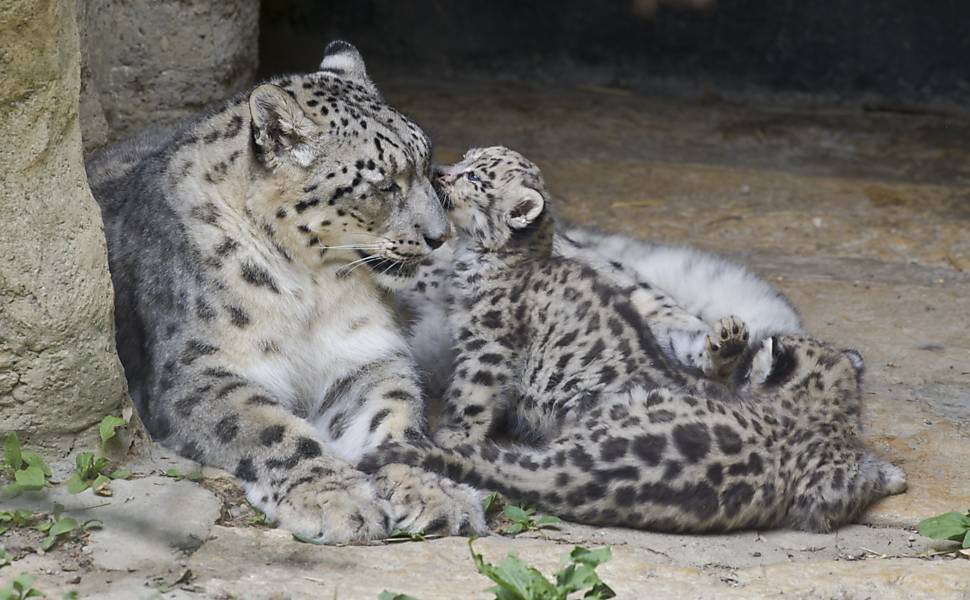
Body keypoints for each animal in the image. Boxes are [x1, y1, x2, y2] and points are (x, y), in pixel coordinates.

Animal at [85, 41, 485, 544]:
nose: (439, 235)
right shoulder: (202, 370)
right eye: (383, 185)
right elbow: (271, 429)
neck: (313, 291)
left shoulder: (365, 357)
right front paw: (338, 500)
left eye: (428, 165)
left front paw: (437, 492)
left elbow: (396, 417)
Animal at [358, 146, 906, 533]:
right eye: (468, 159)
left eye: (475, 177)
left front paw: (455, 437)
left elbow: (471, 396)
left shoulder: (487, 340)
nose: (440, 171)